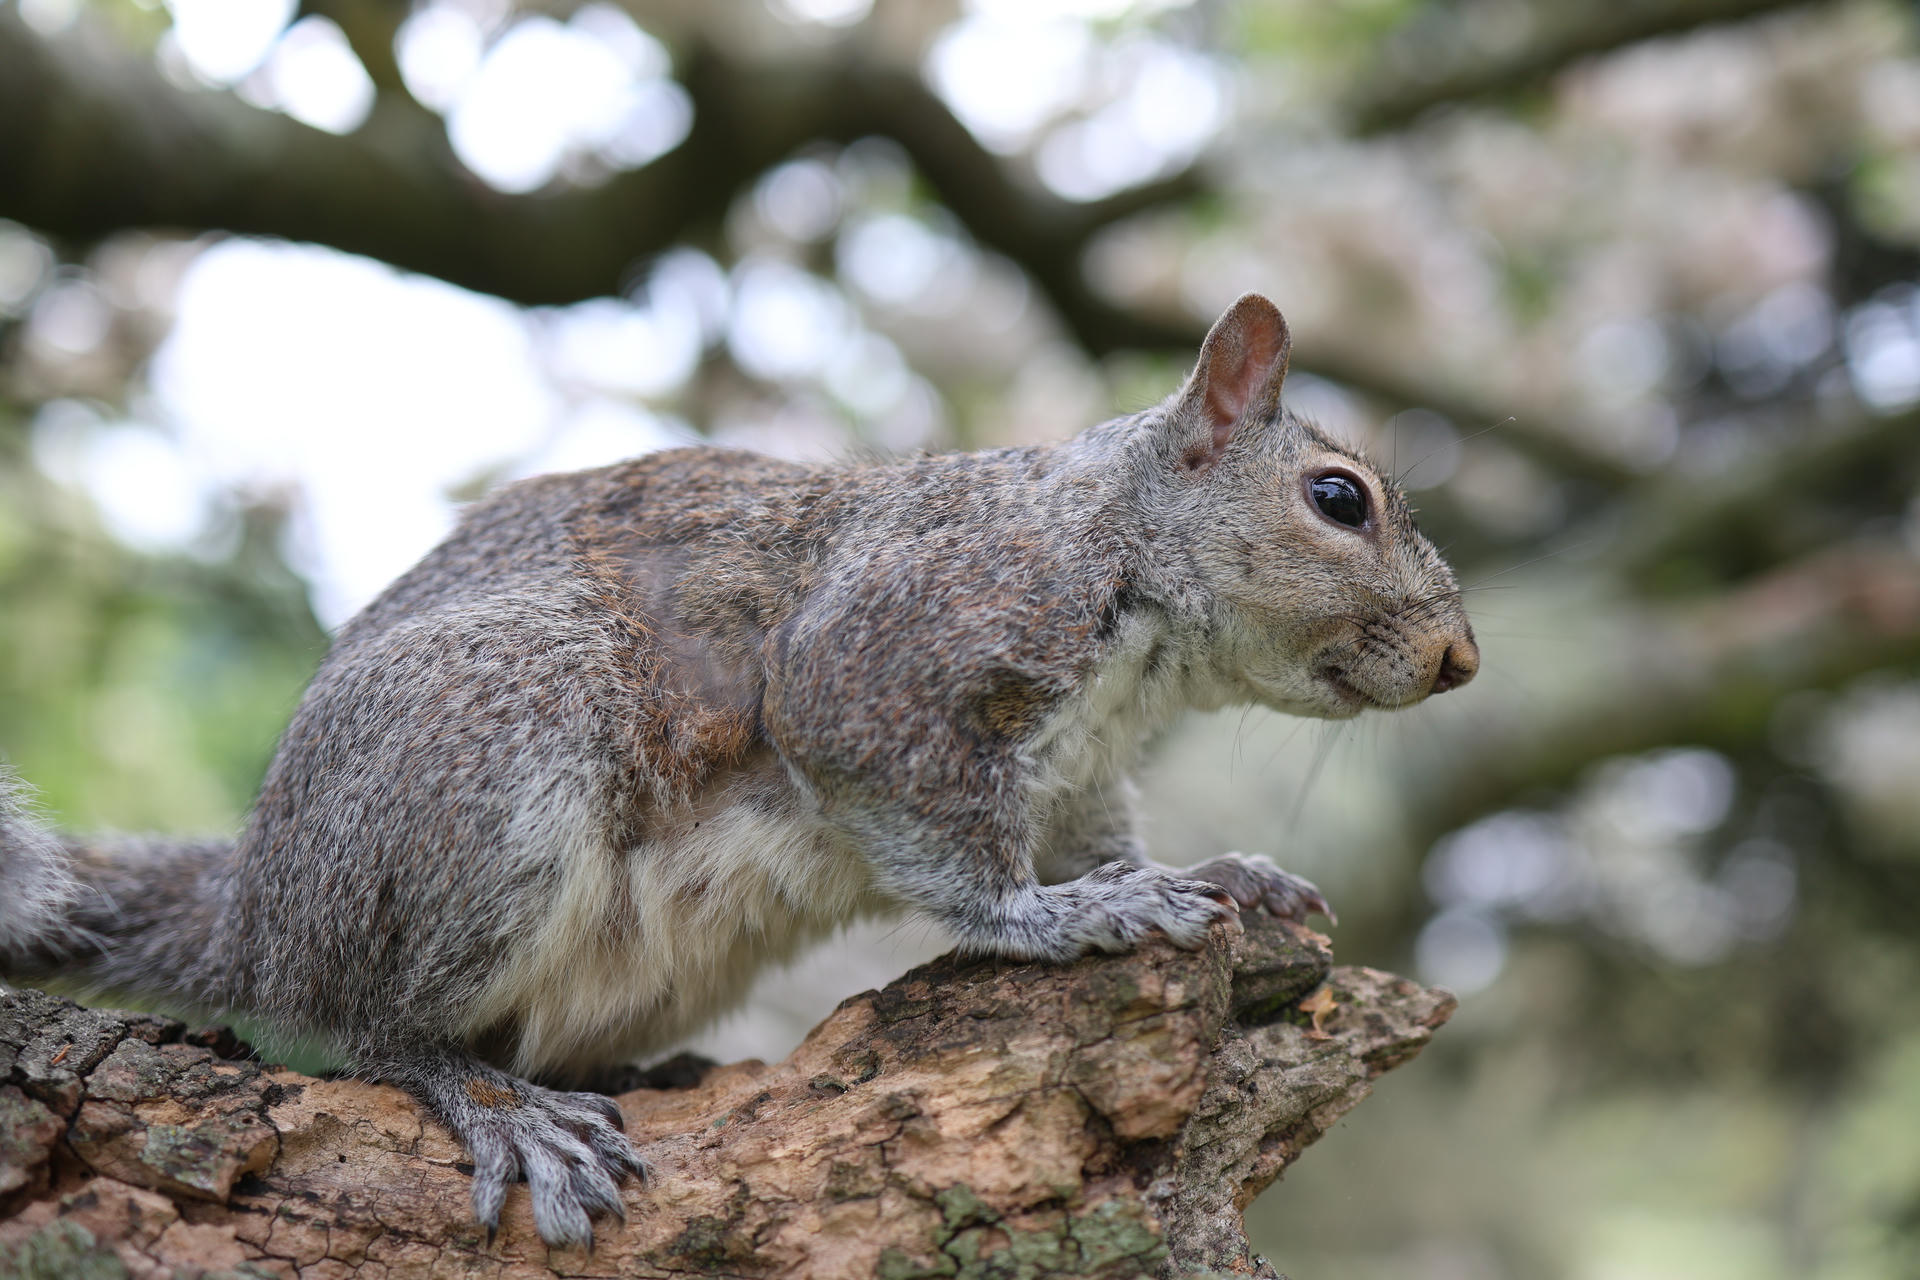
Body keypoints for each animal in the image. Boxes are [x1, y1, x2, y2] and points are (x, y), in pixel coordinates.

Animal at [0, 294, 1476, 1248]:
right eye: (1338, 498)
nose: (1463, 657)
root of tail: (257, 909)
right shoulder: (887, 650)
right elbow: (940, 835)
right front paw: (1062, 917)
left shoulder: (1076, 771)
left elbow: (1104, 835)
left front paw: (1210, 873)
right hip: (496, 755)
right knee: (368, 1026)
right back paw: (495, 1103)